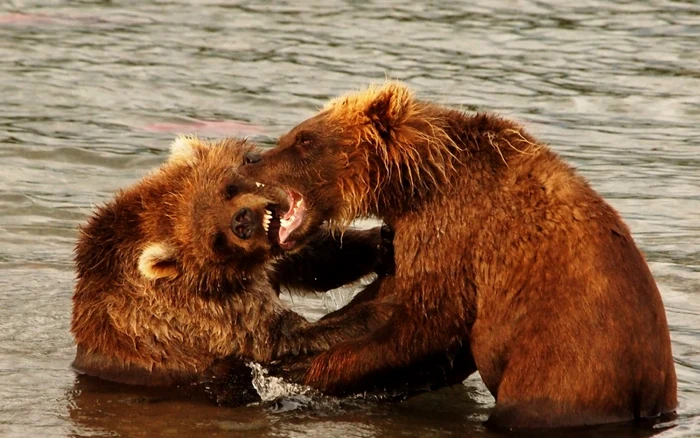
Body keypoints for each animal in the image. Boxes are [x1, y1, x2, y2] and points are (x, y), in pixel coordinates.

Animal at [72, 134, 400, 396]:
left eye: (228, 189)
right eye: (216, 239)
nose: (242, 221)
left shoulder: (269, 261)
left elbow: (316, 261)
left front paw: (381, 242)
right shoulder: (210, 314)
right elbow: (284, 338)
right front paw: (382, 310)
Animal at [241, 82, 680, 428]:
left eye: (305, 139)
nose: (252, 158)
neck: (414, 185)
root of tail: (650, 395)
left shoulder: (453, 233)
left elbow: (426, 327)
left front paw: (291, 369)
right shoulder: (415, 238)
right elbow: (388, 300)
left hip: (565, 369)